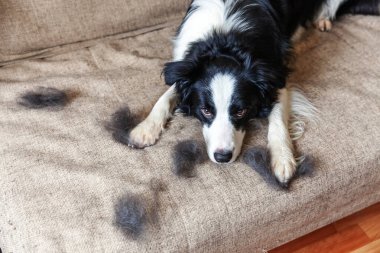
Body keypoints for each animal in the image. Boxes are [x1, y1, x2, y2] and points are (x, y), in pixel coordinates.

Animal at [128, 0, 380, 183]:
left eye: (241, 111)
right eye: (205, 110)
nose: (222, 157)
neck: (225, 41)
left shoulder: (276, 74)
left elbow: (277, 118)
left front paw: (282, 159)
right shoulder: (186, 67)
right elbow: (167, 95)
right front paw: (145, 129)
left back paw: (322, 19)